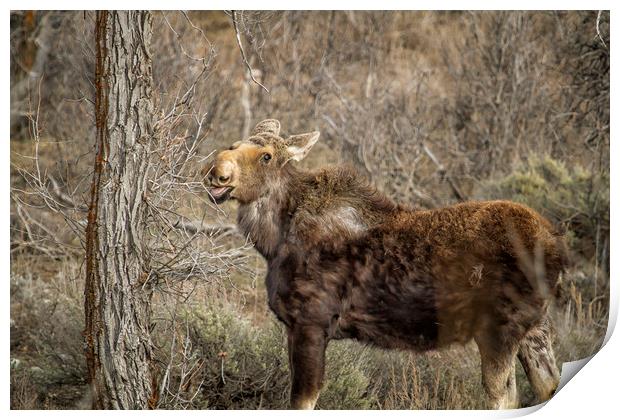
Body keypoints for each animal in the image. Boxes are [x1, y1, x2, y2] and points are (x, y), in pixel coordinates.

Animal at [205, 120, 568, 408]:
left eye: (266, 155)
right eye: (233, 145)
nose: (217, 173)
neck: (273, 240)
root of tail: (556, 246)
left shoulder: (310, 321)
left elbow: (302, 401)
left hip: (499, 329)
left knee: (504, 396)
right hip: (535, 328)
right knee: (547, 384)